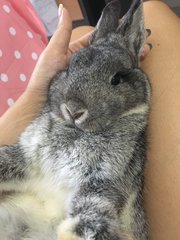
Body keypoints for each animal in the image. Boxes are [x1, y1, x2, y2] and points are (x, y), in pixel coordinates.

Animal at [0, 0, 150, 239]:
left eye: (116, 79)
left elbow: (91, 213)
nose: (73, 109)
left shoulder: (105, 180)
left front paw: (70, 233)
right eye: (70, 66)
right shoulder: (26, 157)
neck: (77, 132)